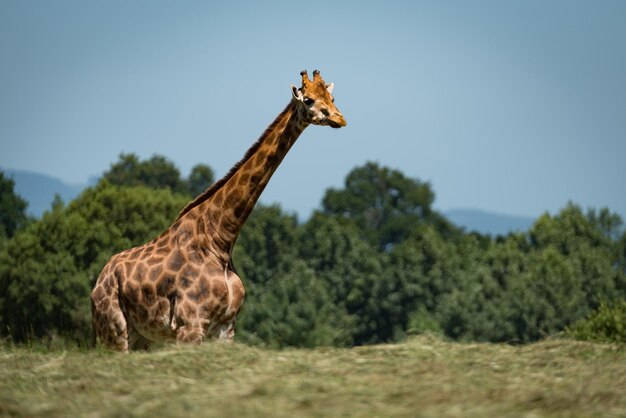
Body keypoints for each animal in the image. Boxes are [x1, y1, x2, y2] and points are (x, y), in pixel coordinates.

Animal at [90, 70, 346, 352]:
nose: (340, 119)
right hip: (113, 330)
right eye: (308, 100)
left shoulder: (225, 327)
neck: (220, 239)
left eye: (332, 97)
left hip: (142, 337)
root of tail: (99, 280)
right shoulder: (191, 325)